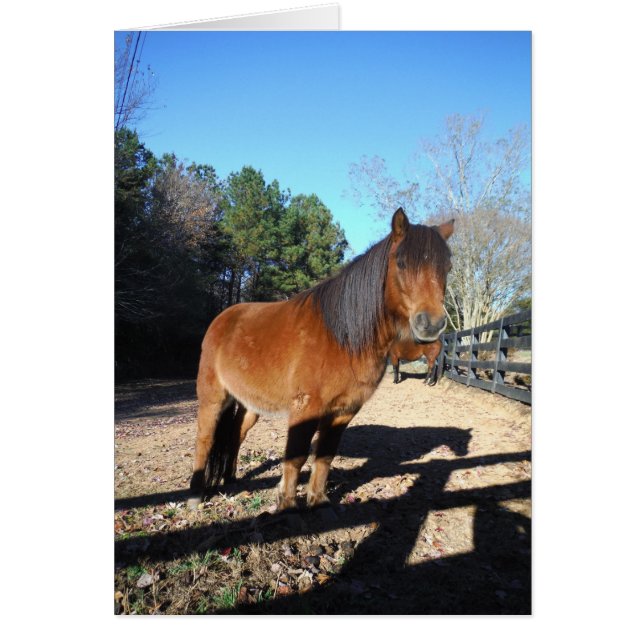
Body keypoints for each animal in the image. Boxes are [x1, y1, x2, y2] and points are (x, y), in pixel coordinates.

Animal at [188, 208, 454, 511]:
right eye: (402, 263)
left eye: (447, 267)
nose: (431, 324)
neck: (343, 337)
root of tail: (222, 319)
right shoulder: (306, 409)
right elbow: (296, 457)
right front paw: (287, 504)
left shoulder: (344, 410)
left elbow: (325, 455)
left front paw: (318, 500)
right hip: (213, 398)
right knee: (205, 439)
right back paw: (195, 497)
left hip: (250, 403)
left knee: (236, 434)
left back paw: (231, 479)